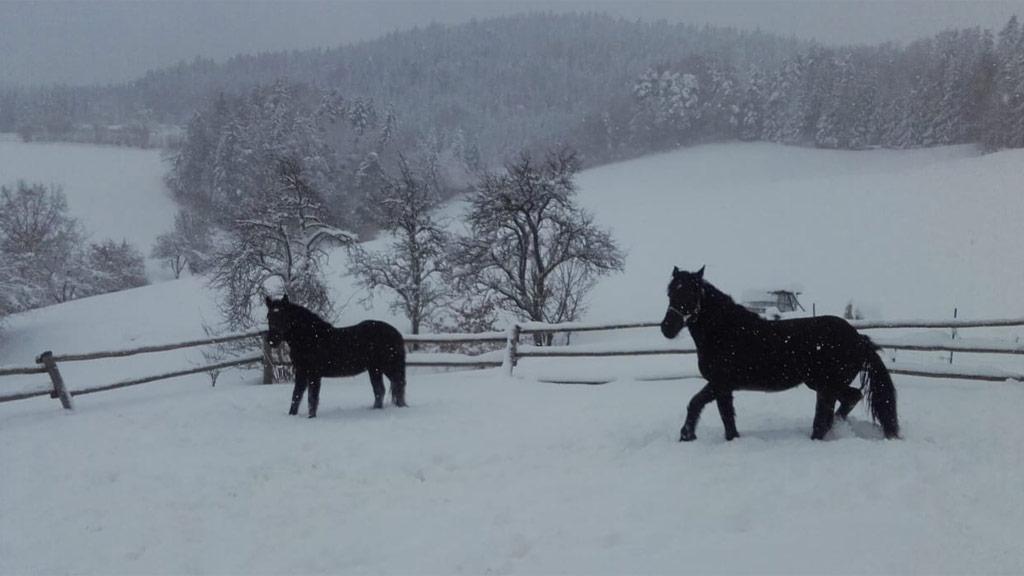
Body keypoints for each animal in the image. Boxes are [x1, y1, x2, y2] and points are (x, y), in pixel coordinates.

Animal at [265, 295, 407, 418]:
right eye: (269, 316)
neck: (311, 338)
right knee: (380, 390)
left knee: (398, 385)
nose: (272, 340)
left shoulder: (314, 374)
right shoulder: (301, 372)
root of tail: (396, 333)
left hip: (388, 368)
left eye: (283, 316)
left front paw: (311, 417)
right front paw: (292, 416)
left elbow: (312, 398)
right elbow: (296, 395)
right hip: (375, 369)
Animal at [660, 266, 899, 441]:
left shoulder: (721, 384)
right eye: (670, 293)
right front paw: (687, 435)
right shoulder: (719, 384)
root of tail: (859, 338)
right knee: (849, 399)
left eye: (691, 293)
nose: (667, 328)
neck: (725, 332)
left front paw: (726, 438)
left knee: (830, 411)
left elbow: (724, 415)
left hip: (826, 385)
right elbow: (698, 404)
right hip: (825, 384)